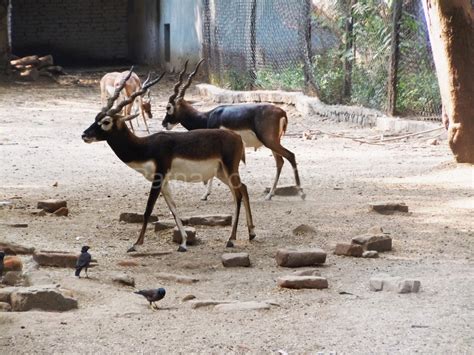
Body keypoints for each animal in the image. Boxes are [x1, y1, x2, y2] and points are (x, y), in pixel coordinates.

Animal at [84, 69, 258, 253]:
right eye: (96, 118)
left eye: (106, 121)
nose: (84, 135)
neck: (145, 146)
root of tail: (237, 137)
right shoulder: (164, 181)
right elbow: (173, 208)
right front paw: (183, 243)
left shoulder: (158, 177)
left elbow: (148, 209)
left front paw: (136, 244)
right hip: (221, 173)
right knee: (243, 189)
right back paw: (251, 233)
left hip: (229, 169)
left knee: (238, 195)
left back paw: (231, 239)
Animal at [161, 59, 306, 202]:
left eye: (169, 107)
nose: (164, 123)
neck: (207, 117)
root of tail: (281, 112)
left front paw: (205, 195)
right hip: (273, 142)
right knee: (280, 162)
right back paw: (270, 194)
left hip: (270, 141)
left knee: (290, 156)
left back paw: (301, 193)